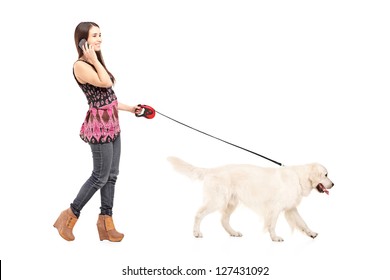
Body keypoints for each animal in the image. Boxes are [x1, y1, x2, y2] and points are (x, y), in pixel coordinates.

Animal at [166, 156, 334, 242]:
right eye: (326, 175)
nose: (333, 184)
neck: (299, 178)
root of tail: (213, 170)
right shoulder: (276, 208)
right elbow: (272, 225)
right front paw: (274, 237)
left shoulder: (291, 208)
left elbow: (302, 222)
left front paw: (311, 233)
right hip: (217, 200)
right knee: (199, 214)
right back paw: (196, 233)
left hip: (230, 203)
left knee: (223, 220)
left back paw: (233, 233)